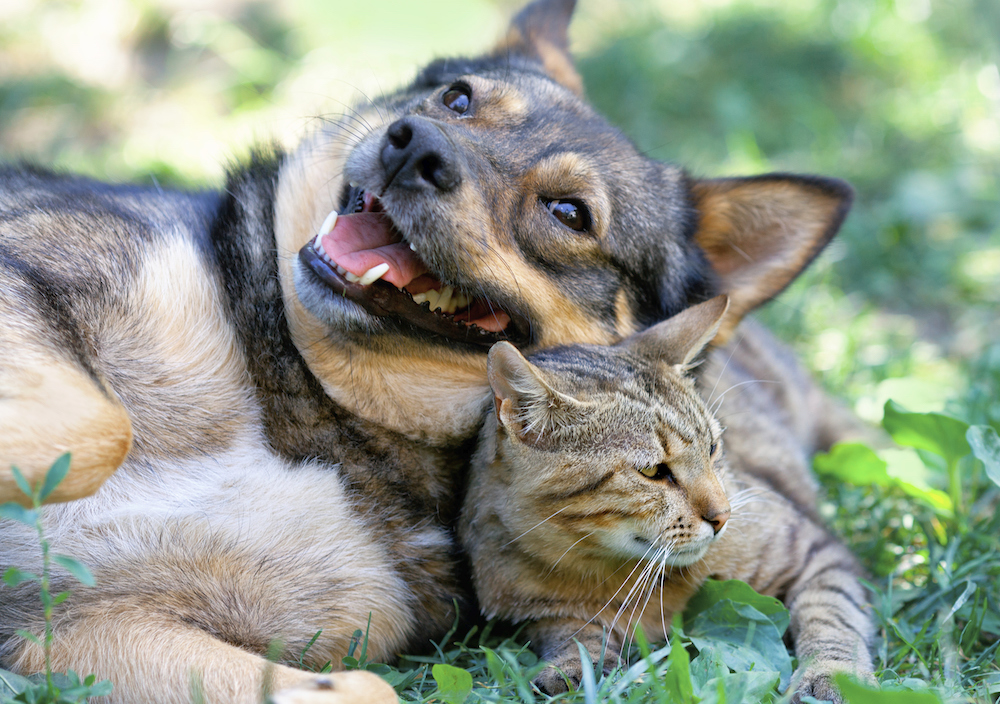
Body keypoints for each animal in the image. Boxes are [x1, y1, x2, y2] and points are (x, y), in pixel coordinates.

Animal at [460, 294, 876, 700]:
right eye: (652, 472)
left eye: (712, 448)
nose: (723, 516)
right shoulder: (537, 613)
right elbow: (573, 635)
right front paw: (575, 668)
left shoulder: (815, 552)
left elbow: (830, 613)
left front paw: (832, 675)